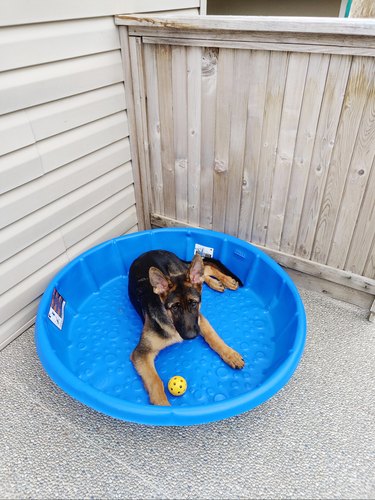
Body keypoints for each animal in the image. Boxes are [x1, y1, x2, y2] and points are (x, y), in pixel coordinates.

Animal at [129, 250, 247, 406]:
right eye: (174, 308)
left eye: (194, 303)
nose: (191, 336)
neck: (171, 322)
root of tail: (150, 251)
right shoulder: (141, 353)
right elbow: (156, 381)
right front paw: (163, 406)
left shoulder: (199, 320)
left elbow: (213, 337)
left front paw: (230, 354)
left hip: (178, 270)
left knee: (203, 270)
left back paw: (224, 281)